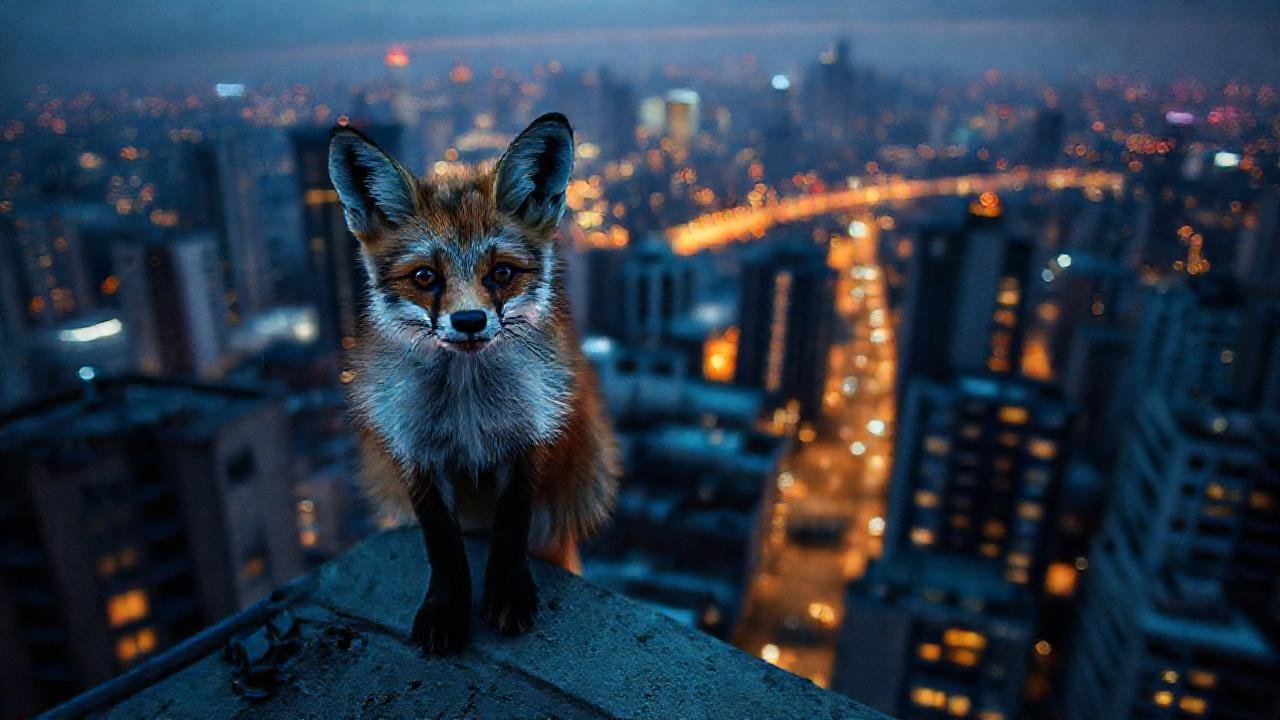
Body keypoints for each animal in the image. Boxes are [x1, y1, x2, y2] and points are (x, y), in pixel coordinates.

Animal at [327, 113, 620, 655]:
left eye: (501, 273)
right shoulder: (415, 450)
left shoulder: (530, 437)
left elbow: (511, 526)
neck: (468, 412)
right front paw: (446, 608)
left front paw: (508, 593)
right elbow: (441, 543)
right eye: (425, 277)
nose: (468, 321)